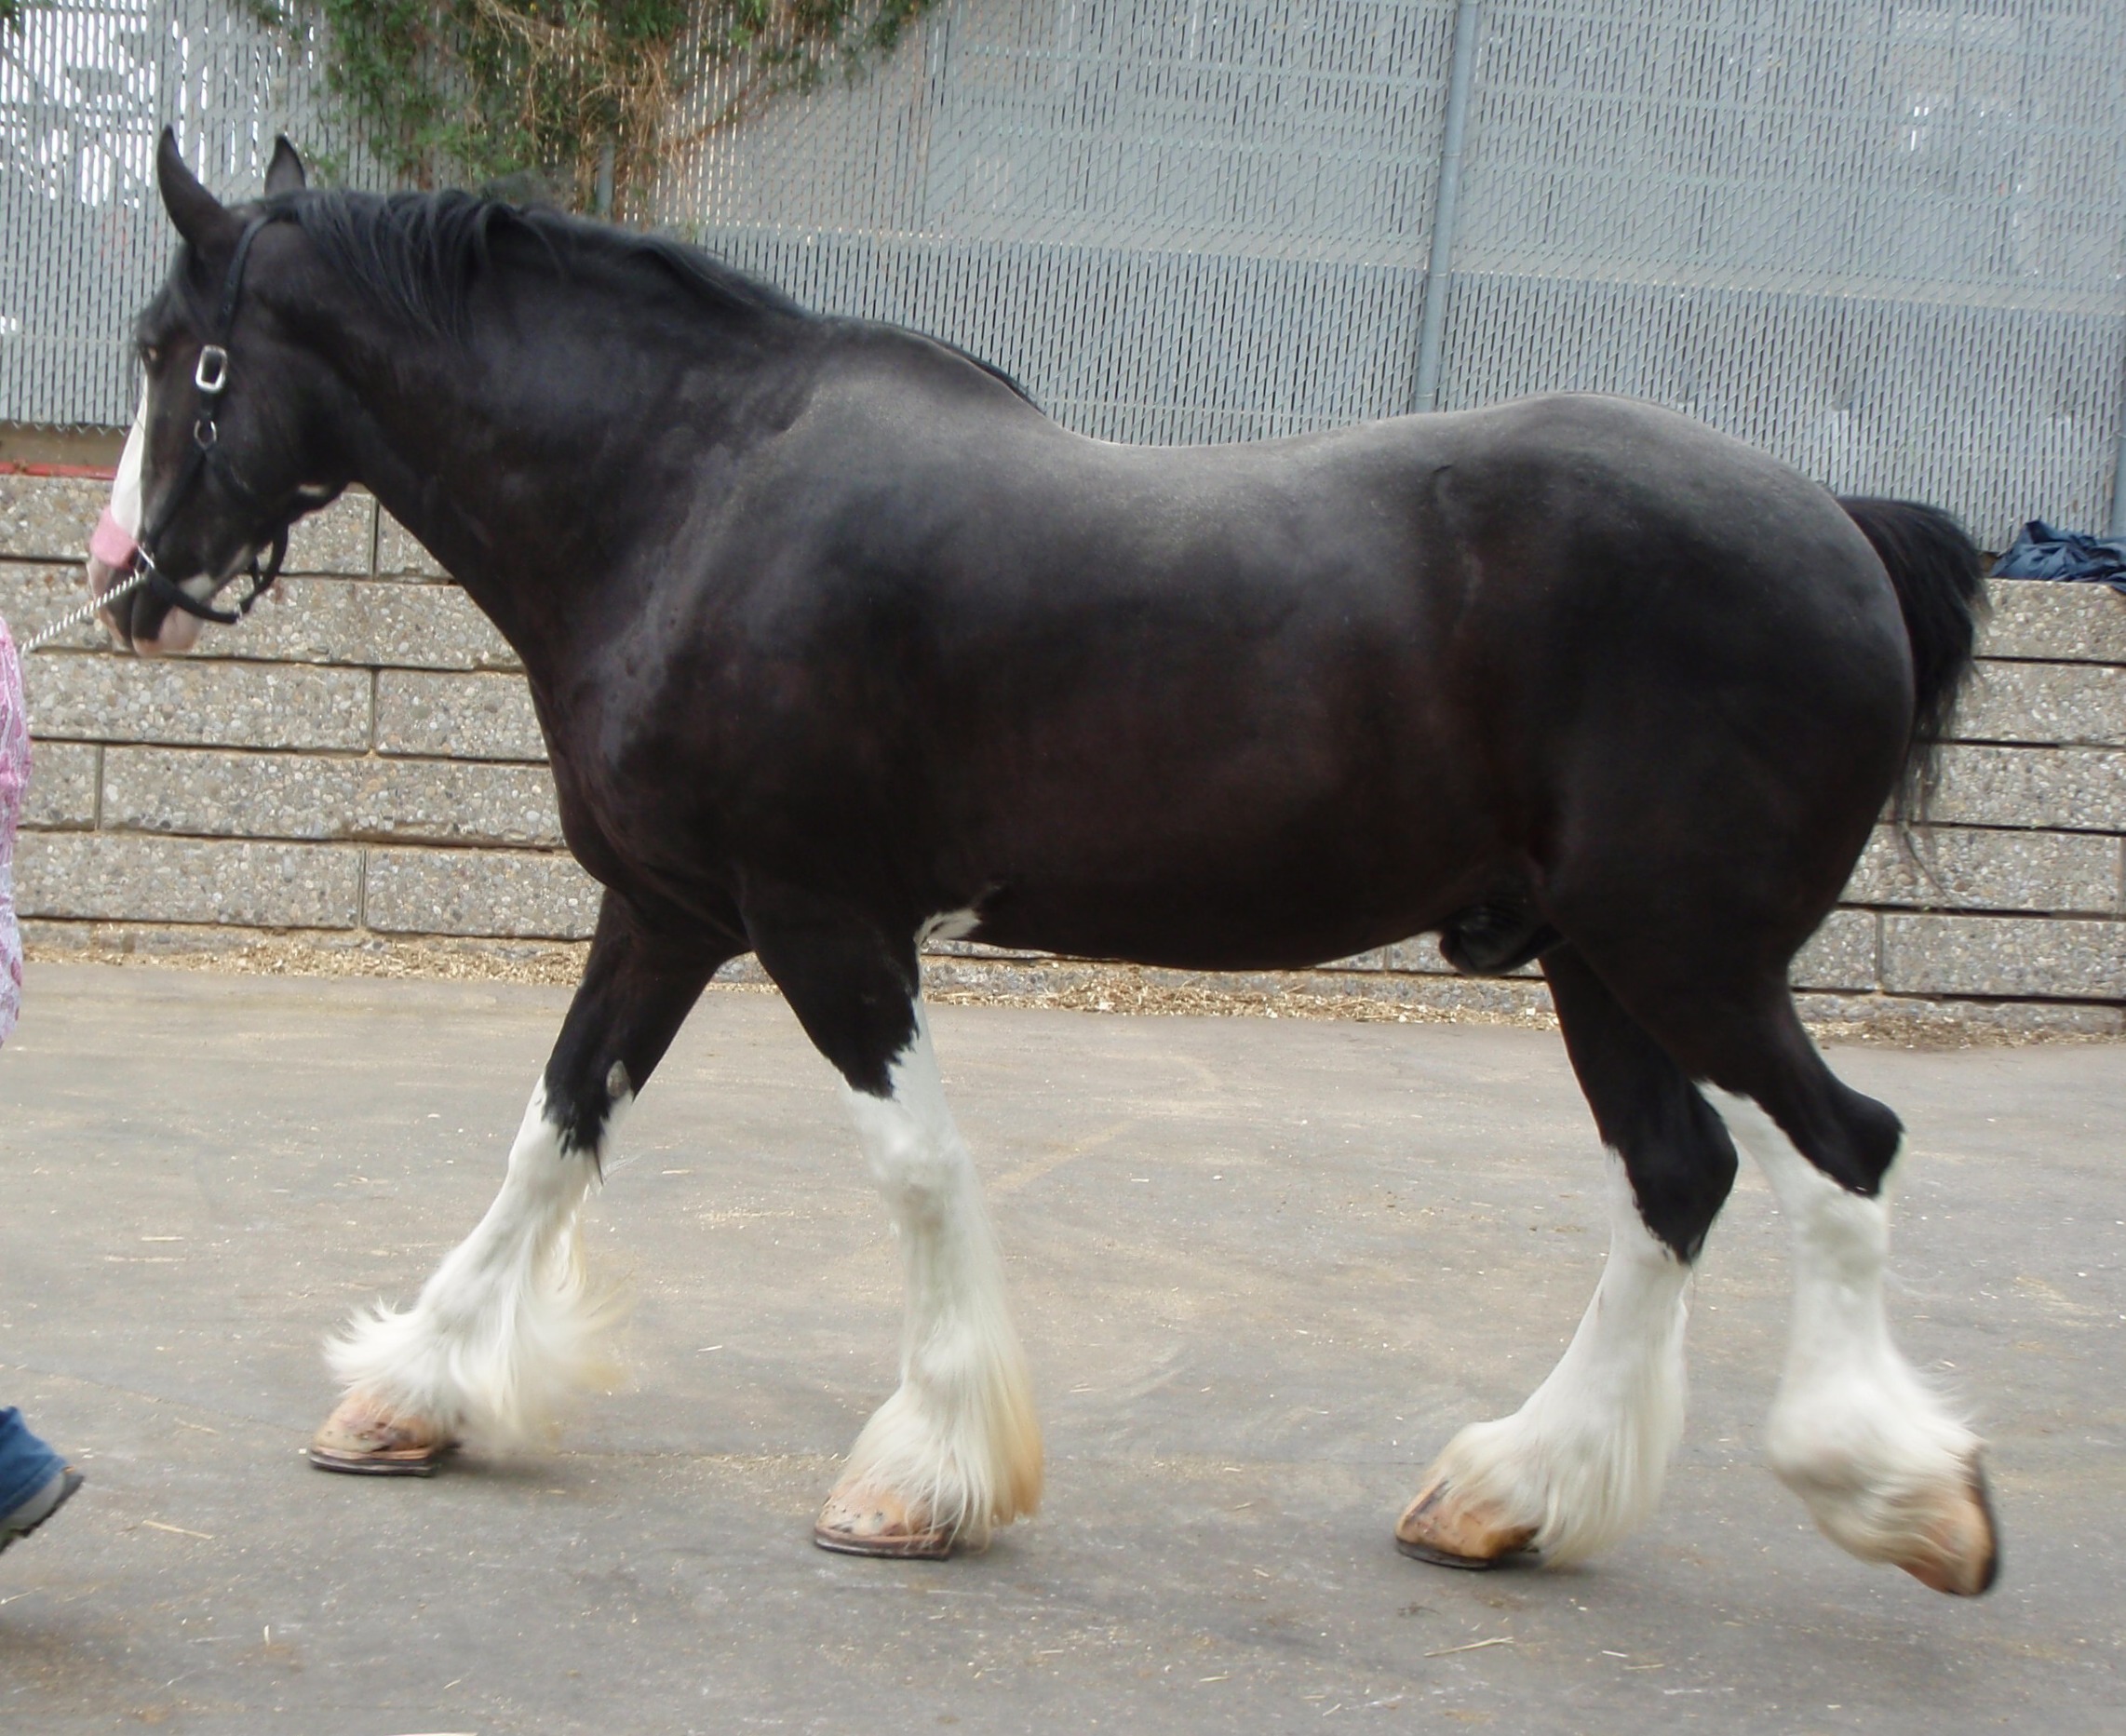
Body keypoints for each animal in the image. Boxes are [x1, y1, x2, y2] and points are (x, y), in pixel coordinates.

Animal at [100, 135, 1989, 1589]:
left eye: (178, 356)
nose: (127, 584)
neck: (694, 494)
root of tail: (1839, 527)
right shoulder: (668, 912)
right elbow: (554, 1131)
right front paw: (415, 1392)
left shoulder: (823, 921)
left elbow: (915, 1172)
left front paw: (919, 1481)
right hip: (1596, 963)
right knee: (1678, 1178)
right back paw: (1505, 1495)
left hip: (1687, 957)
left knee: (1844, 1151)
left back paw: (1903, 1493)